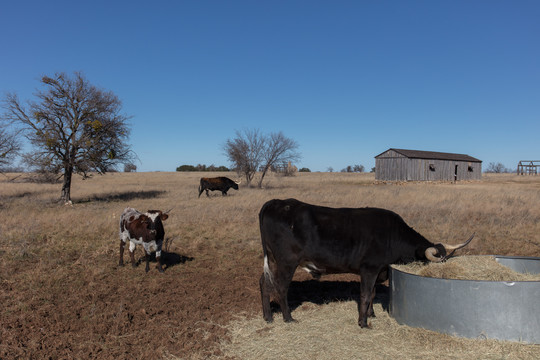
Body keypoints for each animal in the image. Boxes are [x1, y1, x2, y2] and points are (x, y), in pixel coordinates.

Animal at [258, 198, 472, 328]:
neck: (392, 235)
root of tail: (277, 202)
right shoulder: (369, 269)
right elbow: (366, 294)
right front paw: (363, 322)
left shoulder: (378, 271)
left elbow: (373, 294)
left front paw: (372, 314)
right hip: (287, 263)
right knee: (280, 287)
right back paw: (288, 318)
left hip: (273, 260)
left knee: (265, 284)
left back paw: (268, 317)